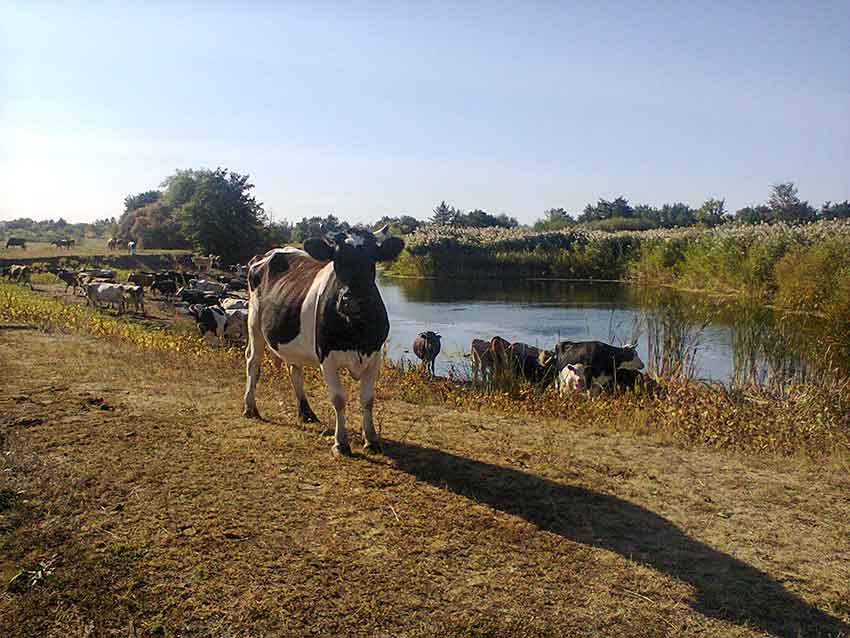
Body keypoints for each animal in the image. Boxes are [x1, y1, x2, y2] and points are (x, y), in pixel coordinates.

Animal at [242, 228, 404, 458]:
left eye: (372, 259)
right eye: (336, 259)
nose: (351, 301)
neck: (356, 330)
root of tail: (269, 252)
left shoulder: (374, 356)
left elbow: (368, 399)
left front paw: (371, 440)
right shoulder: (326, 358)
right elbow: (338, 398)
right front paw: (341, 443)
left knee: (294, 370)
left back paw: (306, 413)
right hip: (254, 321)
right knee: (252, 362)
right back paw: (250, 407)